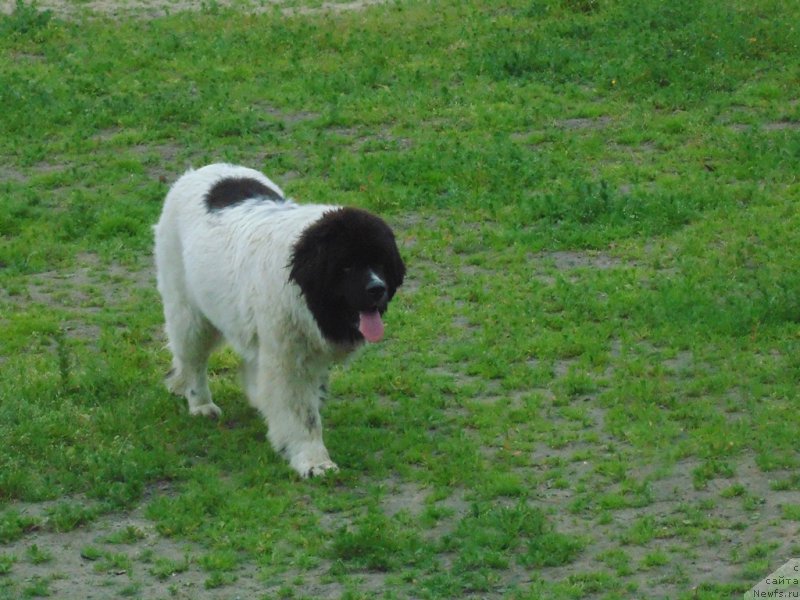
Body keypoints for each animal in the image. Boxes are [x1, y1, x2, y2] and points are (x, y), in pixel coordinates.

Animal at [155, 164, 406, 478]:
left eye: (380, 263)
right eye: (346, 266)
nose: (377, 289)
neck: (303, 287)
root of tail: (195, 172)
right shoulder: (288, 360)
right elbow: (304, 415)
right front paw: (313, 460)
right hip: (188, 313)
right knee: (192, 361)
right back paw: (201, 404)